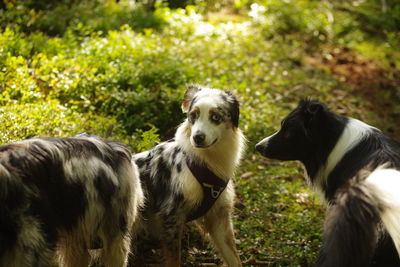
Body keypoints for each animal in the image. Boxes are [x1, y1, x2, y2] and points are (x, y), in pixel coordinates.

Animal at [134, 85, 245, 267]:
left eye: (215, 117)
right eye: (193, 115)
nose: (198, 137)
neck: (203, 163)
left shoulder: (219, 217)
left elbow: (234, 259)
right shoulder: (171, 216)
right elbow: (174, 260)